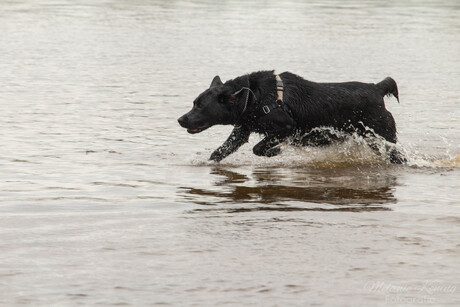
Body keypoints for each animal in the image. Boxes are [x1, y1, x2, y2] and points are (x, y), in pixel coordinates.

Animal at [178, 71, 404, 165]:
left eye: (200, 106)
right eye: (194, 102)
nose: (180, 119)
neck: (254, 97)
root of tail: (377, 88)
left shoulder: (287, 127)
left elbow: (258, 148)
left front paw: (275, 151)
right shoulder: (242, 130)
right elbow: (220, 151)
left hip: (382, 135)